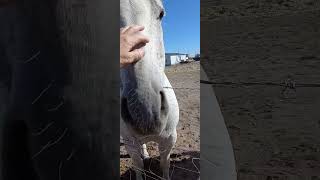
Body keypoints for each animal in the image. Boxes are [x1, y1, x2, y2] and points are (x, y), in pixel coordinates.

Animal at [120, 0, 180, 179]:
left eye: (161, 14)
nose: (145, 113)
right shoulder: (130, 143)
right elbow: (138, 166)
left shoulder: (170, 139)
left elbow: (165, 163)